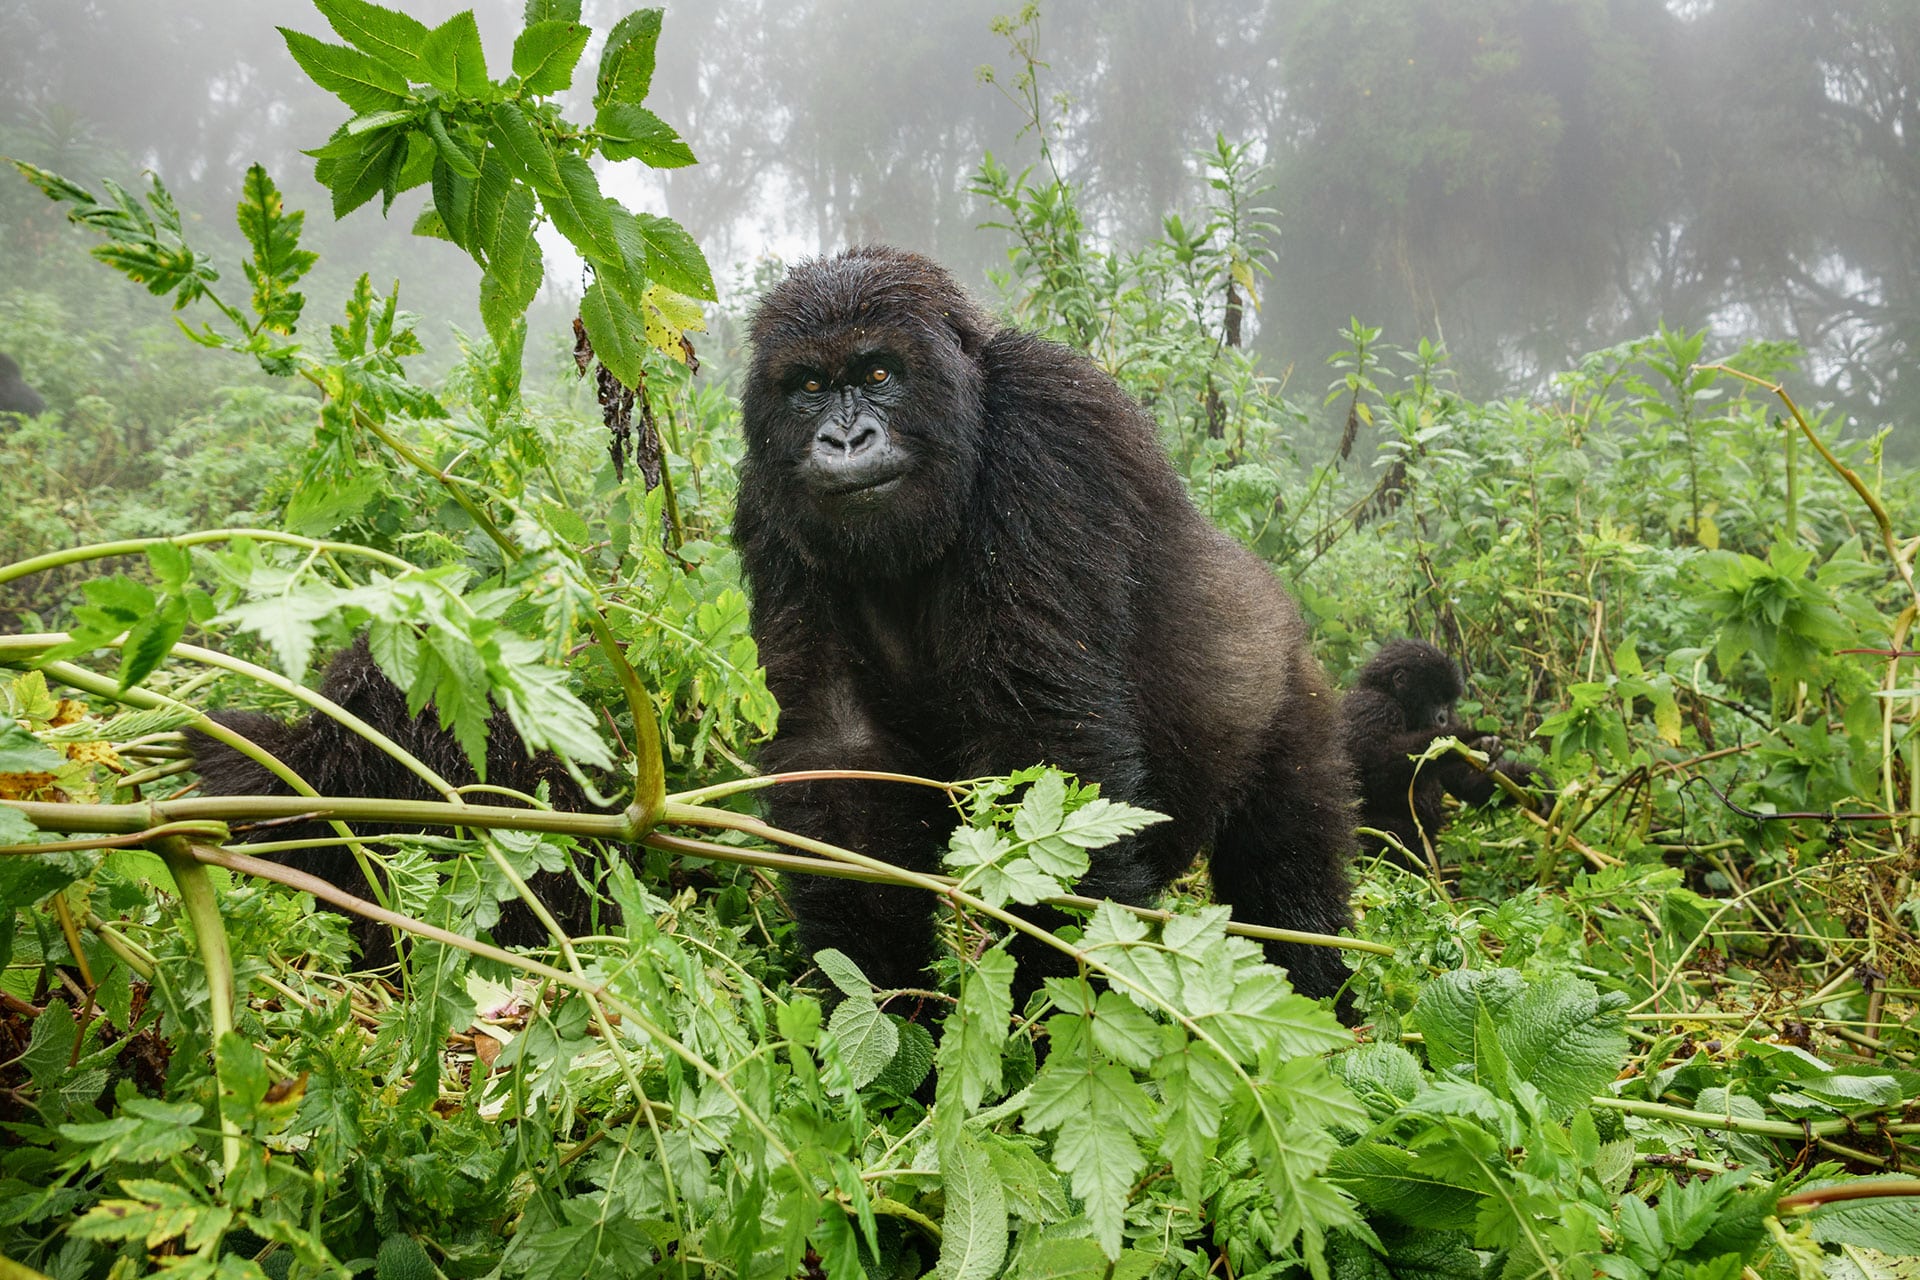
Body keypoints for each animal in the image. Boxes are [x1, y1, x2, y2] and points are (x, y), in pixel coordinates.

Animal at [733, 246, 1358, 1004]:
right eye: (810, 385)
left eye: (878, 374)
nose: (845, 438)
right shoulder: (768, 505)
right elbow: (841, 746)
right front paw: (884, 1001)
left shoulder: (1049, 433)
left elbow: (1046, 745)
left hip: (1296, 701)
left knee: (1287, 873)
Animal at [1342, 638, 1548, 868]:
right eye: (1435, 698)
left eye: (1446, 702)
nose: (1443, 718)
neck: (1389, 693)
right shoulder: (1372, 707)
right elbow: (1377, 767)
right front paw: (1466, 741)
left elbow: (1465, 780)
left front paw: (1534, 782)